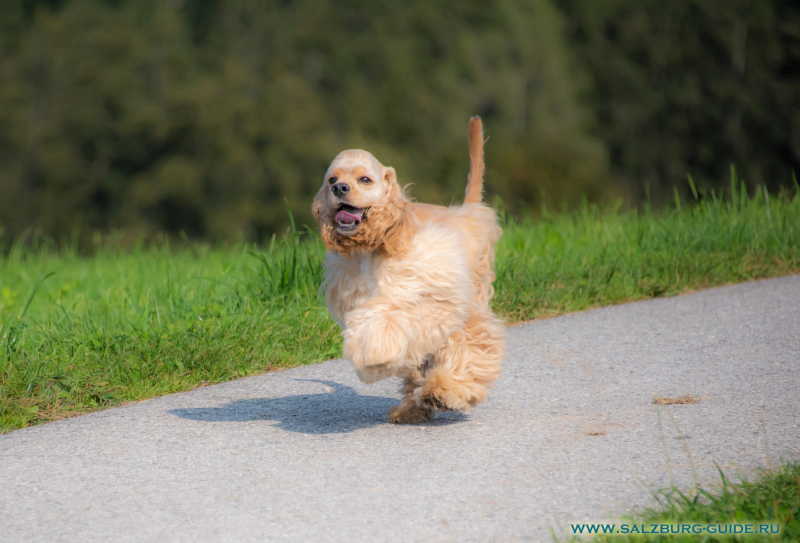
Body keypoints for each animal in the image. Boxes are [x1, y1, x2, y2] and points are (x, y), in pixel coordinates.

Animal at [310, 118, 504, 424]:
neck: (372, 246)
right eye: (331, 179)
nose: (339, 188)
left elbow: (387, 322)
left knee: (467, 343)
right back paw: (413, 407)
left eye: (365, 179)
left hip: (467, 302)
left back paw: (441, 392)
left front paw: (373, 356)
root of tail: (469, 210)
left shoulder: (424, 296)